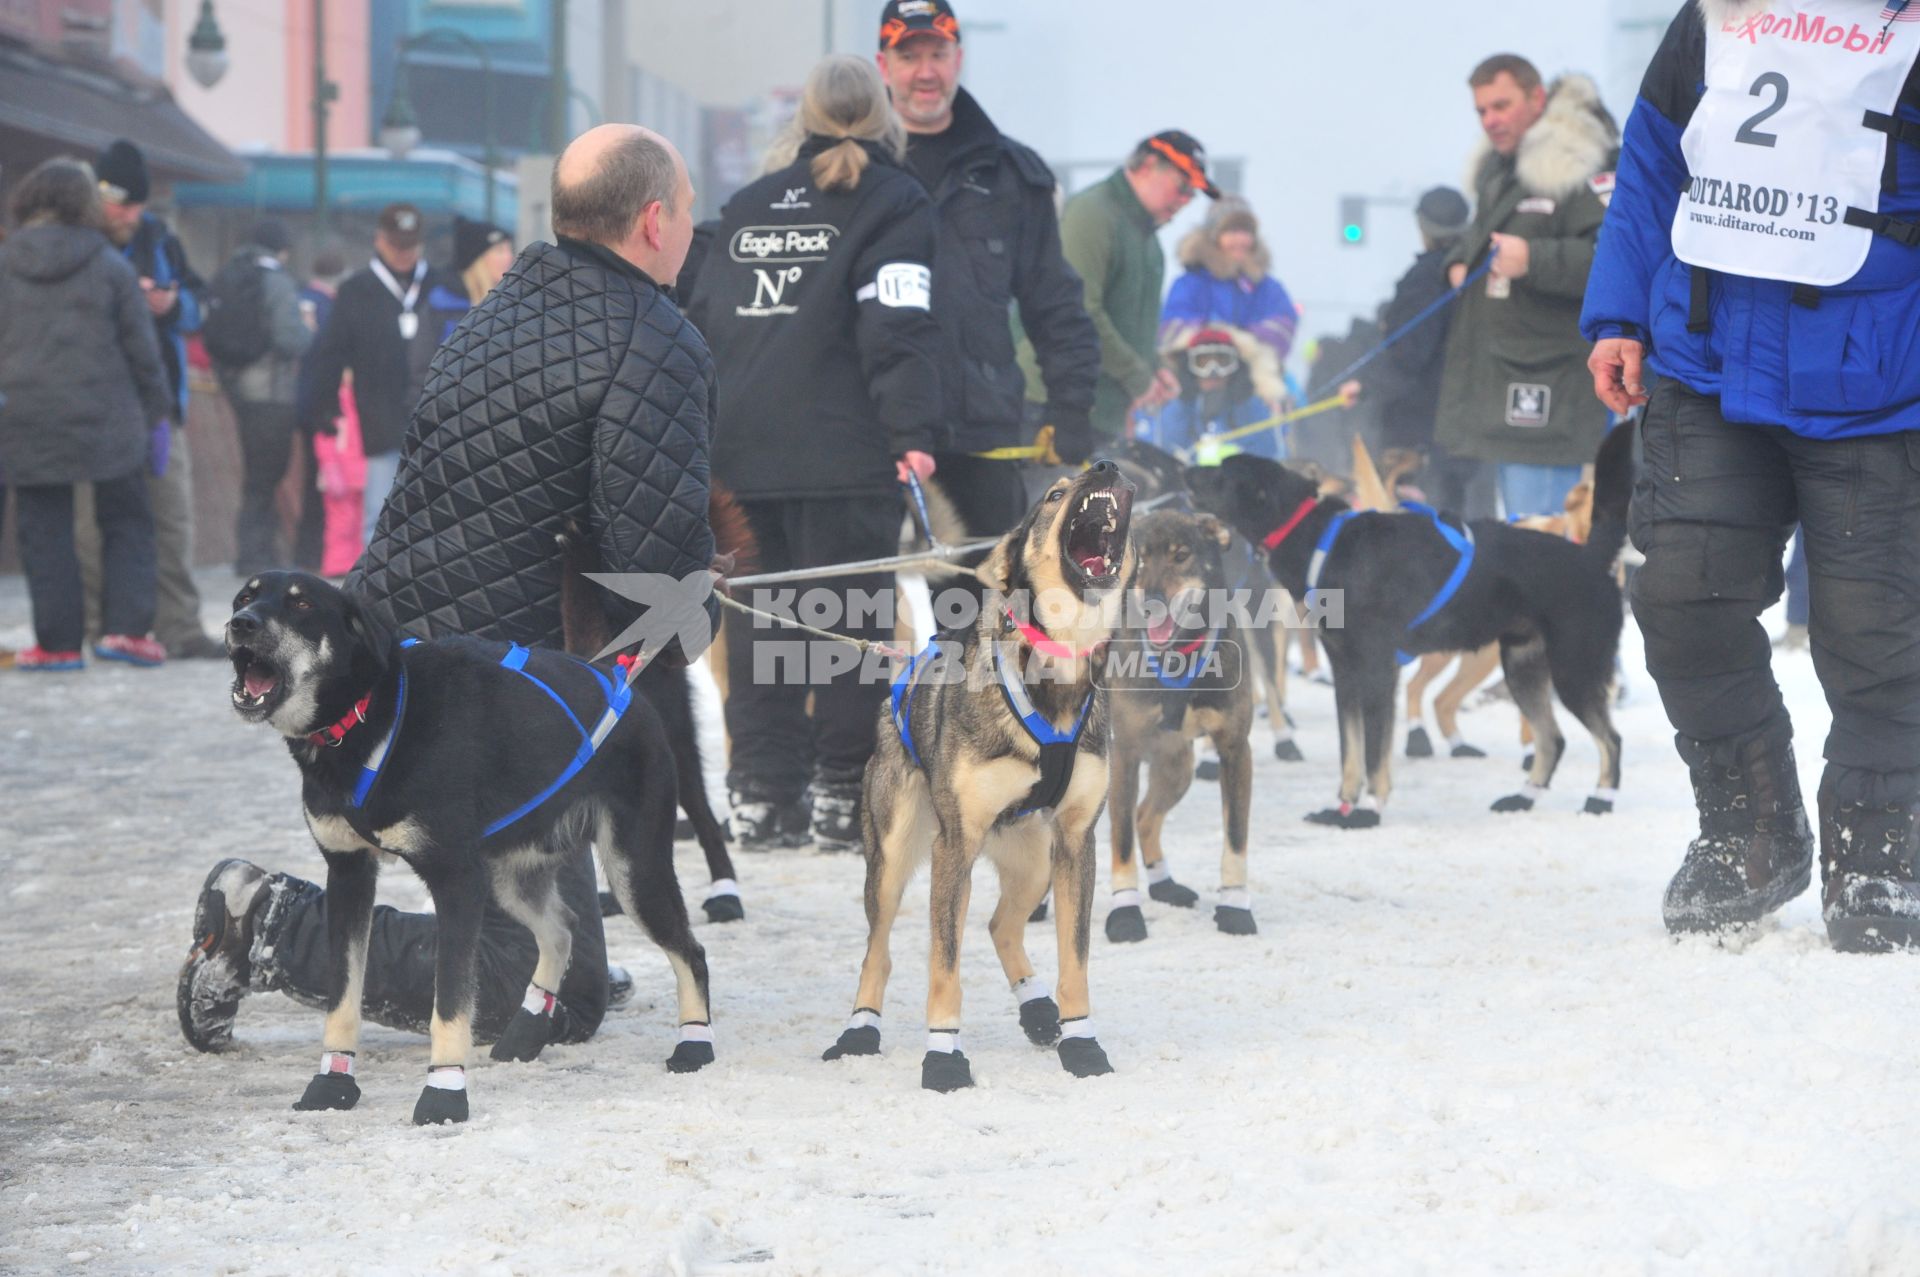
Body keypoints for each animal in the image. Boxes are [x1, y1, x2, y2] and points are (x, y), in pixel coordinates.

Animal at [219, 572, 714, 1121]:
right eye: (246, 596)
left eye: (302, 603)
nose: (241, 623)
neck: (370, 718)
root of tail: (620, 679)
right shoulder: (349, 876)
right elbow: (343, 999)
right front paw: (332, 1082)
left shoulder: (454, 879)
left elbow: (450, 1004)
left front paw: (444, 1091)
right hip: (509, 878)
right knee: (562, 928)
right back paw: (526, 1030)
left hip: (633, 871)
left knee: (690, 952)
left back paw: (694, 1044)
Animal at [817, 462, 1128, 1090]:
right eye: (1055, 493)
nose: (1106, 465)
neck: (1055, 671)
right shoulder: (955, 846)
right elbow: (944, 965)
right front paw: (943, 1057)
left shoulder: (1076, 841)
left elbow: (1075, 959)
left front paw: (1081, 1044)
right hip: (893, 856)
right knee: (878, 951)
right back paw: (859, 1029)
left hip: (1036, 862)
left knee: (1000, 925)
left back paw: (1038, 1009)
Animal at [1098, 510, 1259, 944]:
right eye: (1138, 561)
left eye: (1182, 555)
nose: (1153, 603)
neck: (1179, 656)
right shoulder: (1125, 753)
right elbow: (1120, 841)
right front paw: (1125, 911)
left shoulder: (1235, 749)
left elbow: (1235, 836)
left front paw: (1235, 905)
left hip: (1177, 768)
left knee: (1145, 817)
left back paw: (1164, 883)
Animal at [1190, 418, 1628, 825]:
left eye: (1223, 473)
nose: (1185, 470)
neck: (1321, 541)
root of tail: (1591, 557)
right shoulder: (1346, 673)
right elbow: (1351, 751)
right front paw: (1341, 807)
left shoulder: (1377, 671)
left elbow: (1372, 752)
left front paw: (1367, 810)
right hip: (1523, 668)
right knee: (1552, 739)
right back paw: (1522, 798)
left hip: (1574, 671)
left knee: (1610, 739)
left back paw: (1600, 800)